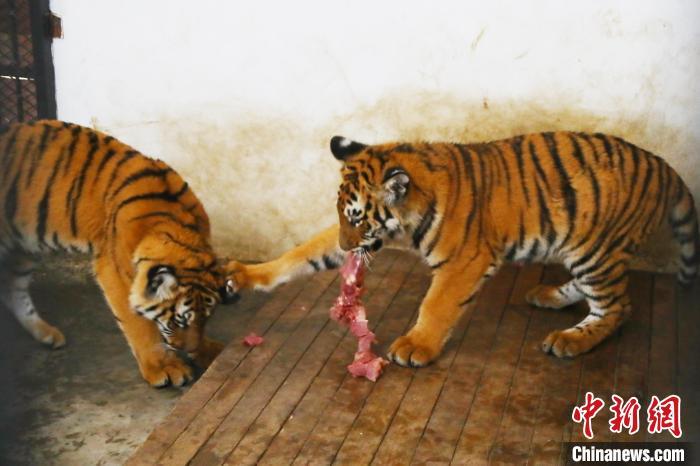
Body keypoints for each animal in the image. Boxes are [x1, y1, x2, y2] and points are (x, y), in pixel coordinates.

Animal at [0, 120, 238, 387]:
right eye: (178, 321)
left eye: (206, 318)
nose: (185, 348)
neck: (178, 229)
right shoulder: (116, 272)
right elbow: (138, 325)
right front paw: (162, 367)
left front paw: (207, 350)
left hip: (24, 246)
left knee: (12, 289)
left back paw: (47, 334)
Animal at [227, 132, 699, 368]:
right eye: (344, 216)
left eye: (358, 218)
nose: (347, 243)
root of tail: (664, 165)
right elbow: (303, 252)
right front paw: (247, 276)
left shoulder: (464, 263)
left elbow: (436, 305)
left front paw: (415, 346)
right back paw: (547, 295)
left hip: (596, 250)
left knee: (617, 308)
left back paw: (570, 340)